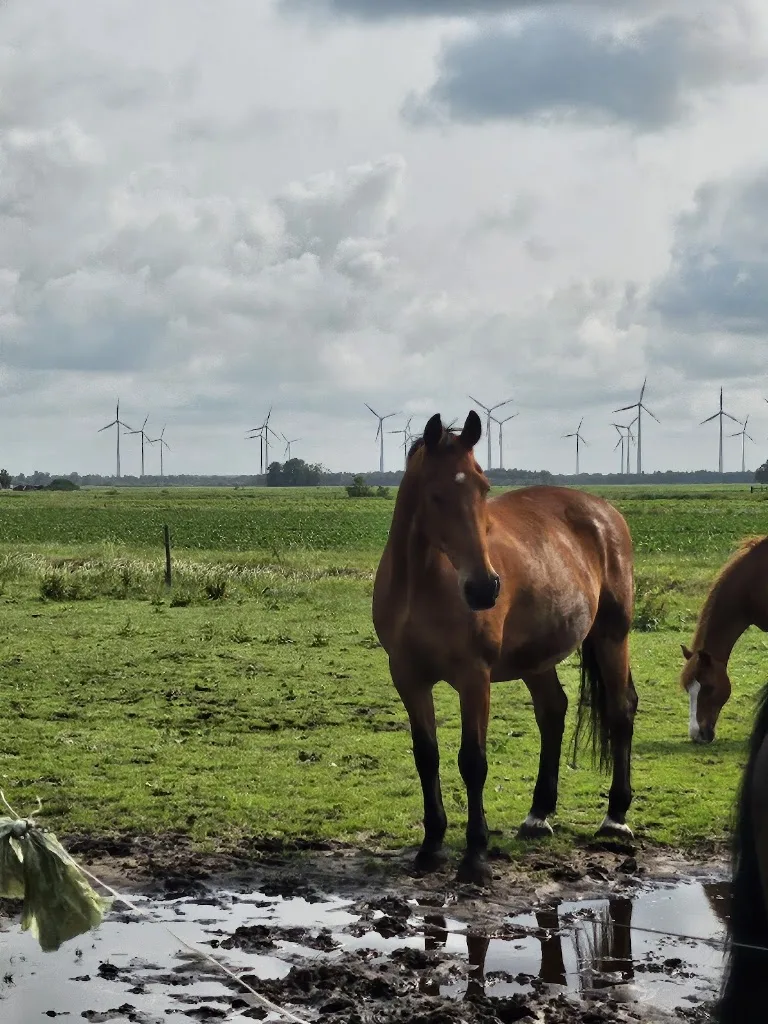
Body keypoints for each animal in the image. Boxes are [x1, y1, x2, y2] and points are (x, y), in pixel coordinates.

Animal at [372, 411, 638, 886]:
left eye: (483, 486)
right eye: (436, 494)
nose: (484, 587)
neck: (420, 584)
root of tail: (604, 512)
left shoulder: (474, 677)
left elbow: (472, 761)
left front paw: (476, 856)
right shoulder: (408, 677)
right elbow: (427, 756)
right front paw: (431, 847)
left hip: (612, 637)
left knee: (620, 710)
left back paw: (615, 818)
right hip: (537, 658)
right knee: (553, 710)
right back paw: (538, 815)